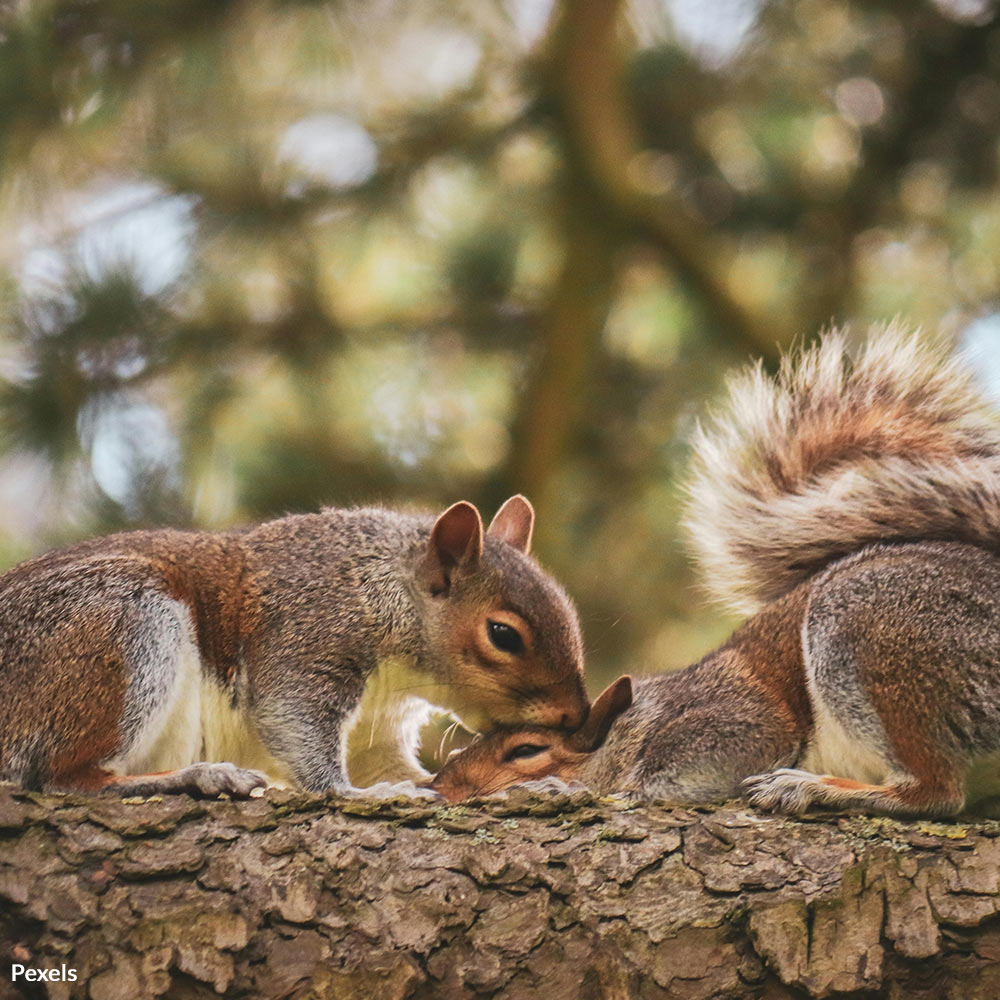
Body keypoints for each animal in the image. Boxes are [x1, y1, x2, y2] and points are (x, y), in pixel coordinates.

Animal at [0, 494, 589, 797]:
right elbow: (292, 719)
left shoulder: (378, 725)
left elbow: (400, 768)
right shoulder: (308, 634)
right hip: (124, 625)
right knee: (65, 778)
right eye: (503, 635)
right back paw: (198, 775)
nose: (578, 716)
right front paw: (357, 794)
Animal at [431, 325, 1000, 818]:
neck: (635, 723)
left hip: (870, 629)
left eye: (526, 750)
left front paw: (571, 790)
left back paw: (812, 787)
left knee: (934, 792)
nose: (440, 786)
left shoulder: (734, 722)